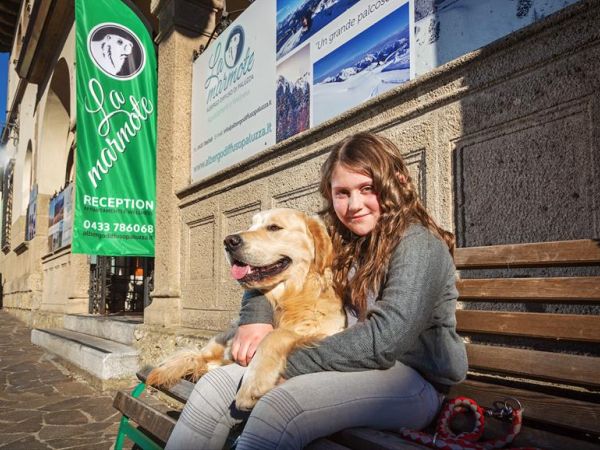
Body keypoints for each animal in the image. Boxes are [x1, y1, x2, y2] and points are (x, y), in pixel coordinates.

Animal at [144, 209, 342, 410]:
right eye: (251, 225)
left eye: (274, 227)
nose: (229, 241)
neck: (292, 296)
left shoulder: (328, 329)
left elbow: (274, 335)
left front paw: (253, 383)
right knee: (199, 357)